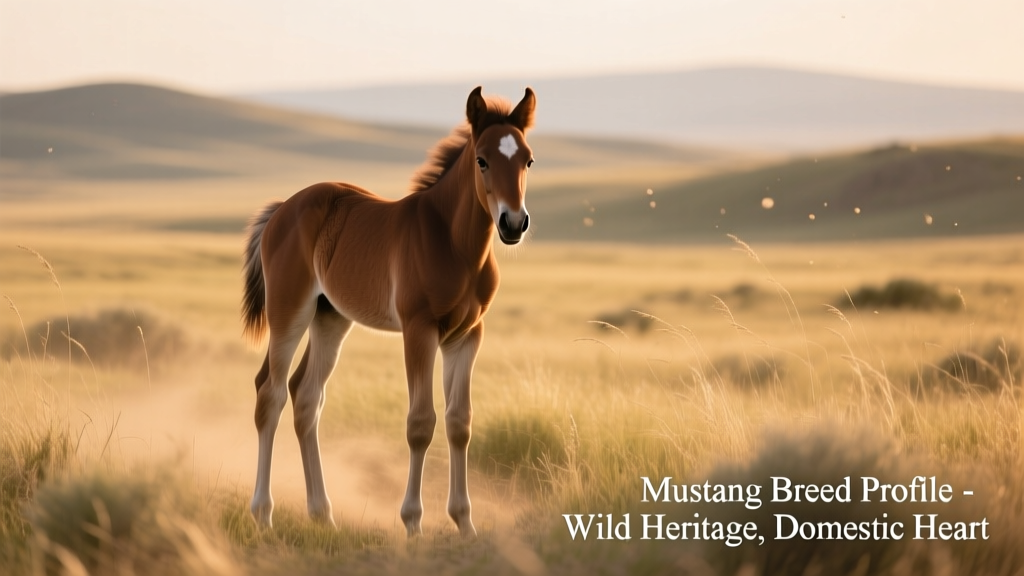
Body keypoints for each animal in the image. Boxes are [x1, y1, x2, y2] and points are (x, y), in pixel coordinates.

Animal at [240, 86, 536, 537]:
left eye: (528, 160)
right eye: (482, 160)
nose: (513, 224)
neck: (455, 244)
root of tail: (283, 209)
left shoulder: (468, 334)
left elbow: (459, 422)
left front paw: (465, 523)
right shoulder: (419, 330)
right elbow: (420, 423)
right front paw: (412, 522)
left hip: (331, 319)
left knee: (305, 397)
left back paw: (323, 515)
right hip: (289, 314)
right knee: (269, 394)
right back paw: (263, 514)